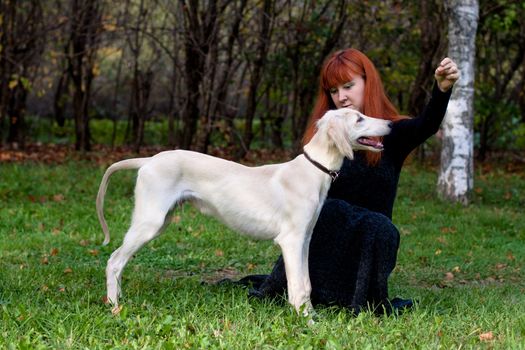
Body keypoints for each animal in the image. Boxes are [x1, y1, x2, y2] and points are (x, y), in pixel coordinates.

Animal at [96, 108, 390, 316]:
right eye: (359, 118)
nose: (390, 124)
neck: (312, 169)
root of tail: (150, 159)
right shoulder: (291, 241)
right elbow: (297, 286)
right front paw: (306, 322)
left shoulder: (305, 239)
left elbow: (306, 283)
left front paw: (310, 316)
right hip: (150, 222)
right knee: (114, 261)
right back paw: (113, 305)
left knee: (120, 262)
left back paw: (119, 299)